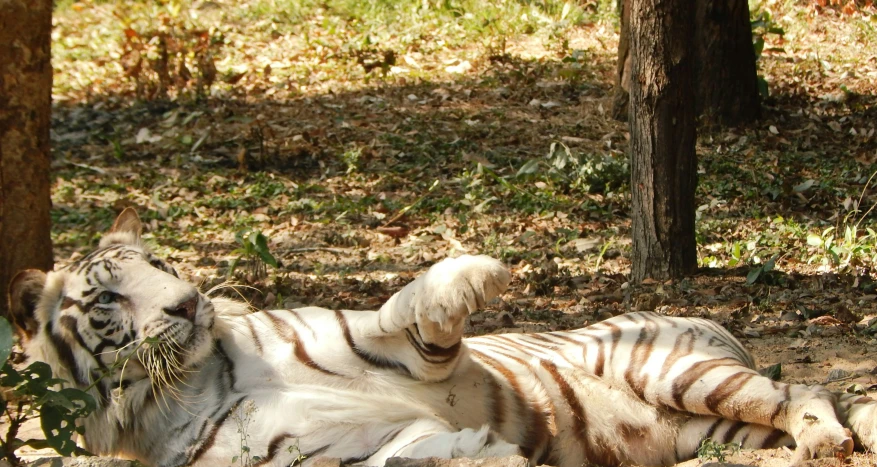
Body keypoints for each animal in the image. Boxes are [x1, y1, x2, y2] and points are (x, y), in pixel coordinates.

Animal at [6, 209, 876, 467]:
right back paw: (821, 440)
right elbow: (409, 453)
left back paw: (826, 437)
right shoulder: (324, 457)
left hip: (679, 372)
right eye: (108, 295)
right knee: (795, 400)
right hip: (707, 425)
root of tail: (720, 325)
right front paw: (484, 454)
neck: (198, 376)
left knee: (805, 385)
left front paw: (474, 271)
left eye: (159, 262)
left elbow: (404, 310)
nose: (189, 305)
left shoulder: (386, 345)